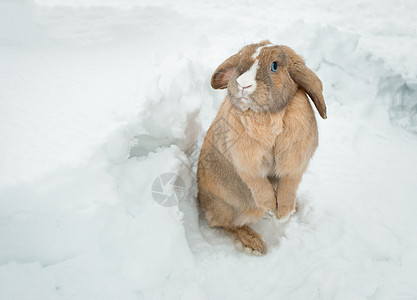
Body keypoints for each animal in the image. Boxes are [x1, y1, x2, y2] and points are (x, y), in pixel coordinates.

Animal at [197, 40, 326, 255]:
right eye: (240, 63)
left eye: (274, 66)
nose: (243, 84)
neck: (268, 115)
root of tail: (200, 200)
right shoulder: (247, 164)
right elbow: (259, 184)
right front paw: (271, 207)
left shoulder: (295, 163)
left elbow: (289, 183)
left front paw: (283, 212)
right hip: (232, 208)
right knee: (226, 225)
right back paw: (253, 243)